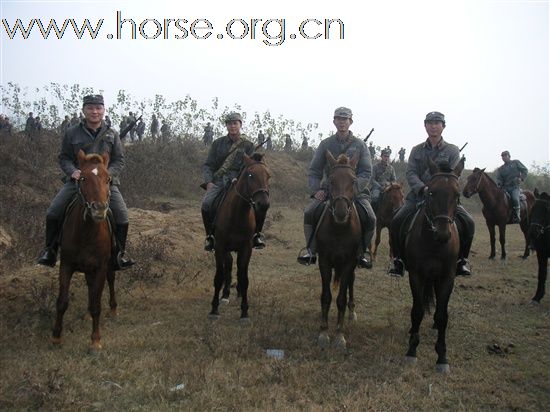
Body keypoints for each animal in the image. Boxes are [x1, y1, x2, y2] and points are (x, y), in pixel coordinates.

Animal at [51, 151, 116, 354]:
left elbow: (96, 305)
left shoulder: (101, 267)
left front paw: (95, 341)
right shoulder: (66, 265)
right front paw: (56, 337)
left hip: (109, 265)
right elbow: (62, 301)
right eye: (82, 178)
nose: (99, 209)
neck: (87, 232)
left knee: (111, 281)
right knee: (89, 286)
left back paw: (113, 309)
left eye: (108, 179)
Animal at [209, 153, 272, 324]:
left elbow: (244, 279)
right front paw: (214, 309)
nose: (263, 204)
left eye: (268, 176)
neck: (237, 214)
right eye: (251, 175)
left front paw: (244, 312)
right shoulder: (220, 247)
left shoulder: (246, 249)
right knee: (229, 266)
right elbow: (219, 276)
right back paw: (225, 295)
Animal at [406, 158, 466, 374]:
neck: (434, 243)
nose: (443, 234)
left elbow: (442, 316)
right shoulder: (416, 275)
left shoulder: (447, 277)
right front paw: (411, 351)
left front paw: (442, 357)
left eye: (457, 195)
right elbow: (417, 311)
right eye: (431, 192)